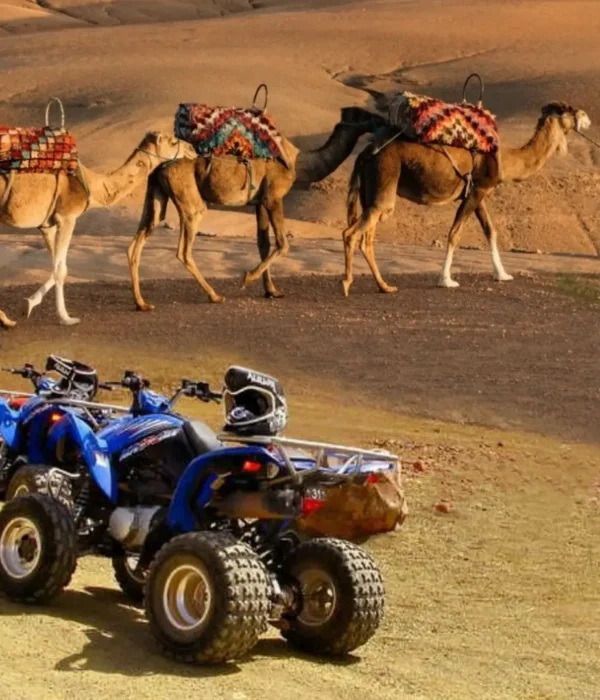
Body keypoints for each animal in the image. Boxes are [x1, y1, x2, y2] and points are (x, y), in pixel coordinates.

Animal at [0, 132, 195, 328]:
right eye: (173, 141)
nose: (192, 149)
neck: (92, 185)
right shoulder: (67, 217)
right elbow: (60, 270)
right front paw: (66, 318)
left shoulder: (48, 224)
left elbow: (59, 266)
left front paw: (27, 305)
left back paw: (6, 319)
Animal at [127, 107, 385, 310]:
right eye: (366, 115)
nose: (382, 121)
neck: (298, 162)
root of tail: (162, 164)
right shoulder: (273, 196)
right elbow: (283, 243)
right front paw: (247, 278)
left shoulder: (259, 201)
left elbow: (264, 244)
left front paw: (271, 290)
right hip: (189, 197)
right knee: (184, 247)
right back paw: (215, 295)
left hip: (157, 192)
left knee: (141, 236)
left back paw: (141, 303)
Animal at [340, 102, 592, 296]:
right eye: (568, 108)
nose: (587, 117)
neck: (505, 159)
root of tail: (365, 153)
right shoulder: (477, 191)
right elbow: (455, 233)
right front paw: (446, 280)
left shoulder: (478, 192)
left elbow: (490, 230)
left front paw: (503, 275)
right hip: (385, 179)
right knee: (352, 233)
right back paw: (347, 283)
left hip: (371, 191)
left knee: (367, 237)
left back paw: (385, 286)